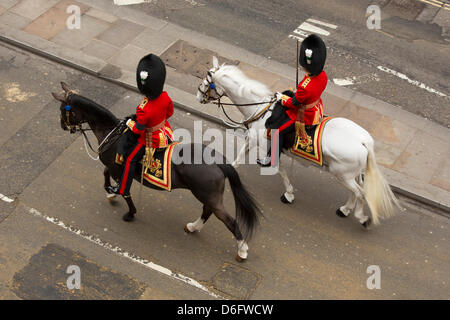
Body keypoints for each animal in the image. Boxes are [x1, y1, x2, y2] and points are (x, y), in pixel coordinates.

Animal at [52, 81, 260, 262]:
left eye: (63, 109)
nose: (63, 126)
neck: (113, 133)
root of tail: (218, 161)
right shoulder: (115, 166)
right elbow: (107, 176)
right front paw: (112, 193)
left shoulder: (119, 167)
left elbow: (122, 188)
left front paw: (128, 211)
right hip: (208, 196)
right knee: (207, 211)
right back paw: (193, 227)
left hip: (208, 195)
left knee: (229, 221)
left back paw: (242, 250)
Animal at [195, 57, 400, 228]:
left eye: (205, 83)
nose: (198, 97)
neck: (260, 108)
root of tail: (365, 141)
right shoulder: (264, 145)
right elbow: (264, 165)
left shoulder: (260, 144)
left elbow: (264, 166)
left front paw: (287, 193)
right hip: (350, 174)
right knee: (356, 191)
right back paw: (346, 209)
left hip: (342, 173)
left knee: (360, 193)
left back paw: (360, 216)